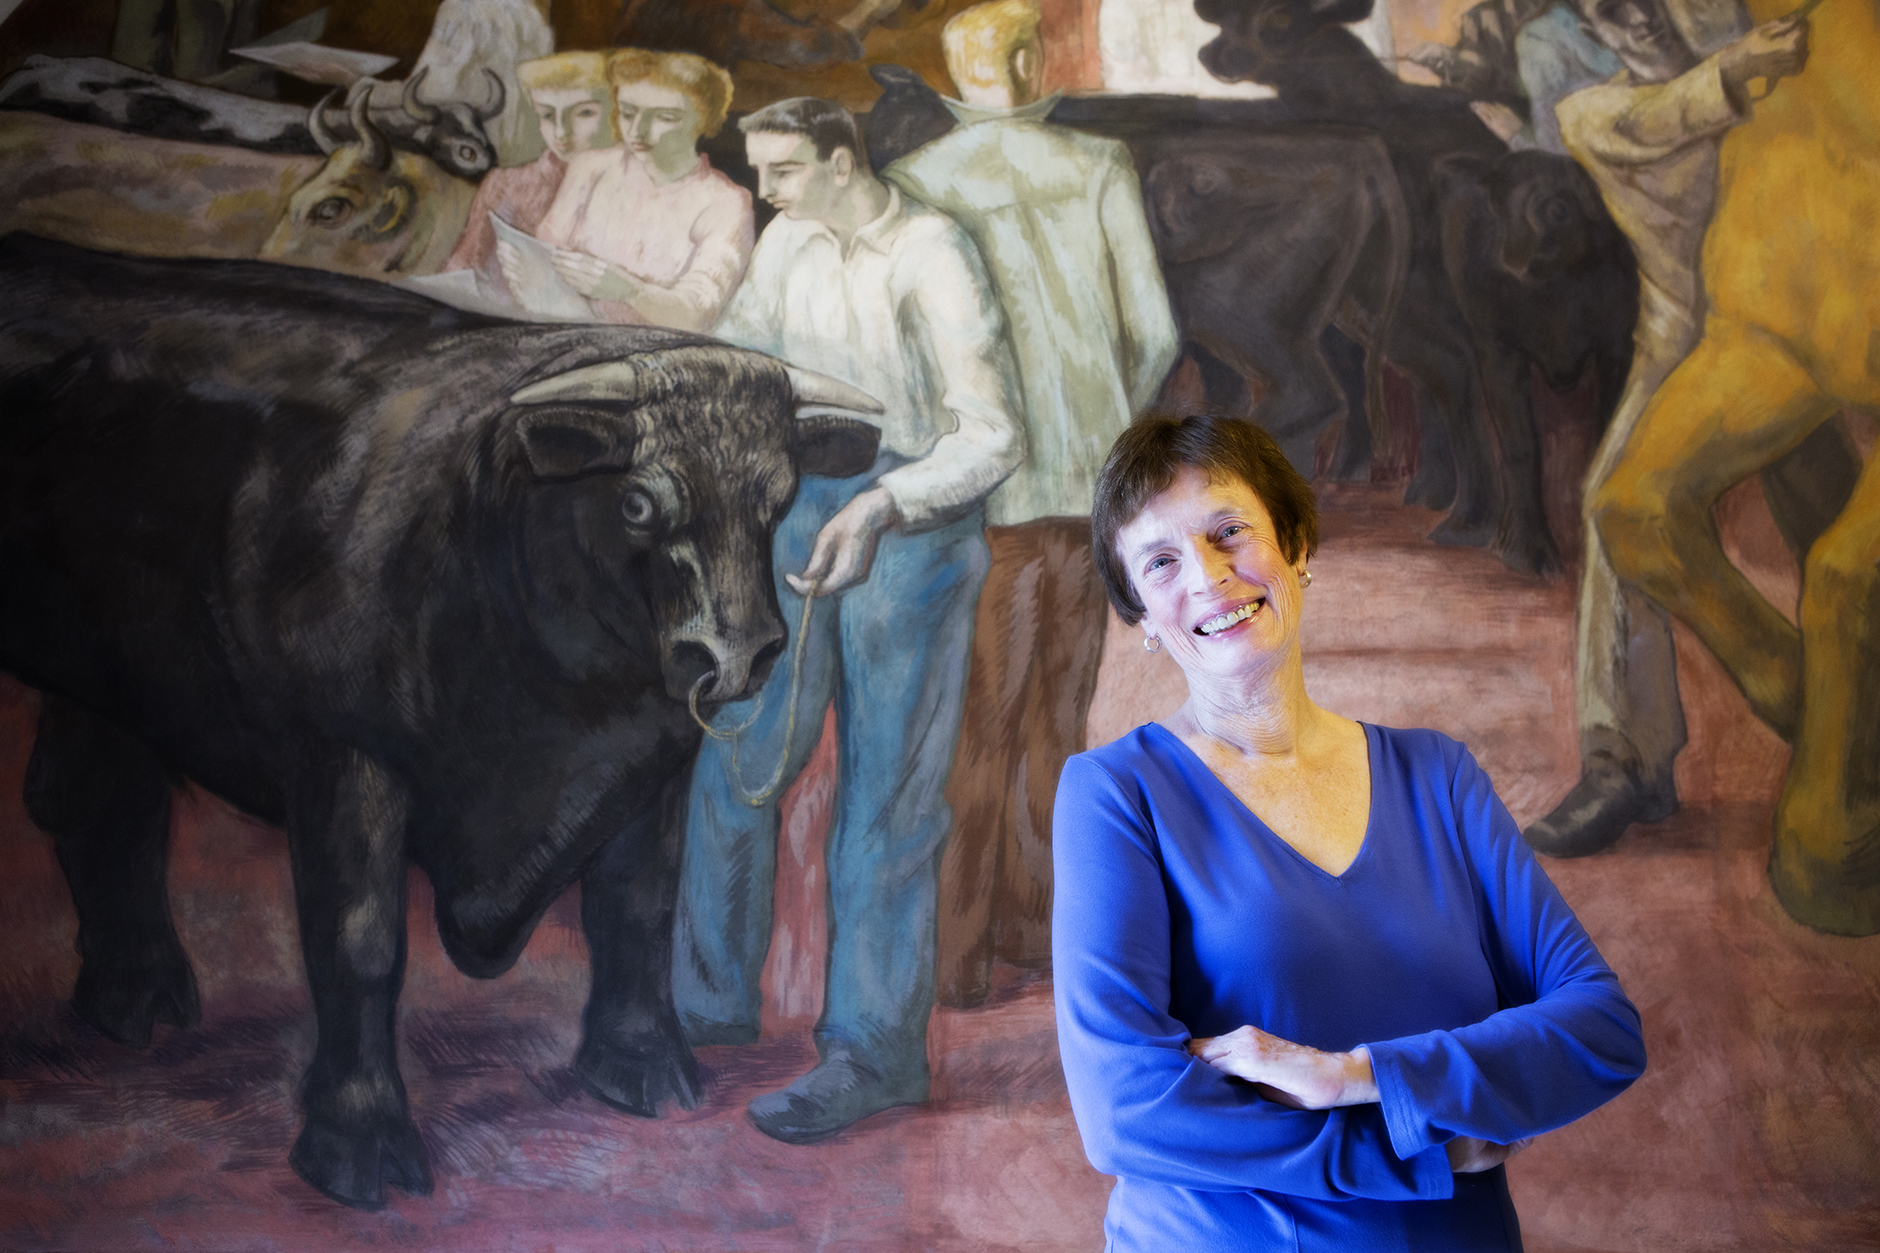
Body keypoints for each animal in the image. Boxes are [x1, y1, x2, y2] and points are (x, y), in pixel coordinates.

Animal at [0, 231, 879, 1204]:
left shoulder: (653, 765)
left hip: (103, 675)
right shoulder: (344, 761)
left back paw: (136, 1000)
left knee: (100, 800)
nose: (740, 652)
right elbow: (361, 942)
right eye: (640, 499)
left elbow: (637, 909)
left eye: (780, 496)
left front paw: (646, 1067)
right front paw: (359, 1141)